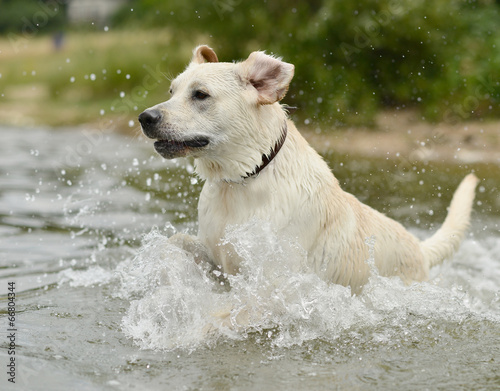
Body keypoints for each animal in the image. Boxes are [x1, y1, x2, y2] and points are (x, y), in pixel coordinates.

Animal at [139, 45, 478, 294]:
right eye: (171, 92)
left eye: (200, 94)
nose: (145, 117)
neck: (243, 179)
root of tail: (420, 250)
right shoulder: (216, 251)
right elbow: (177, 242)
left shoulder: (271, 280)